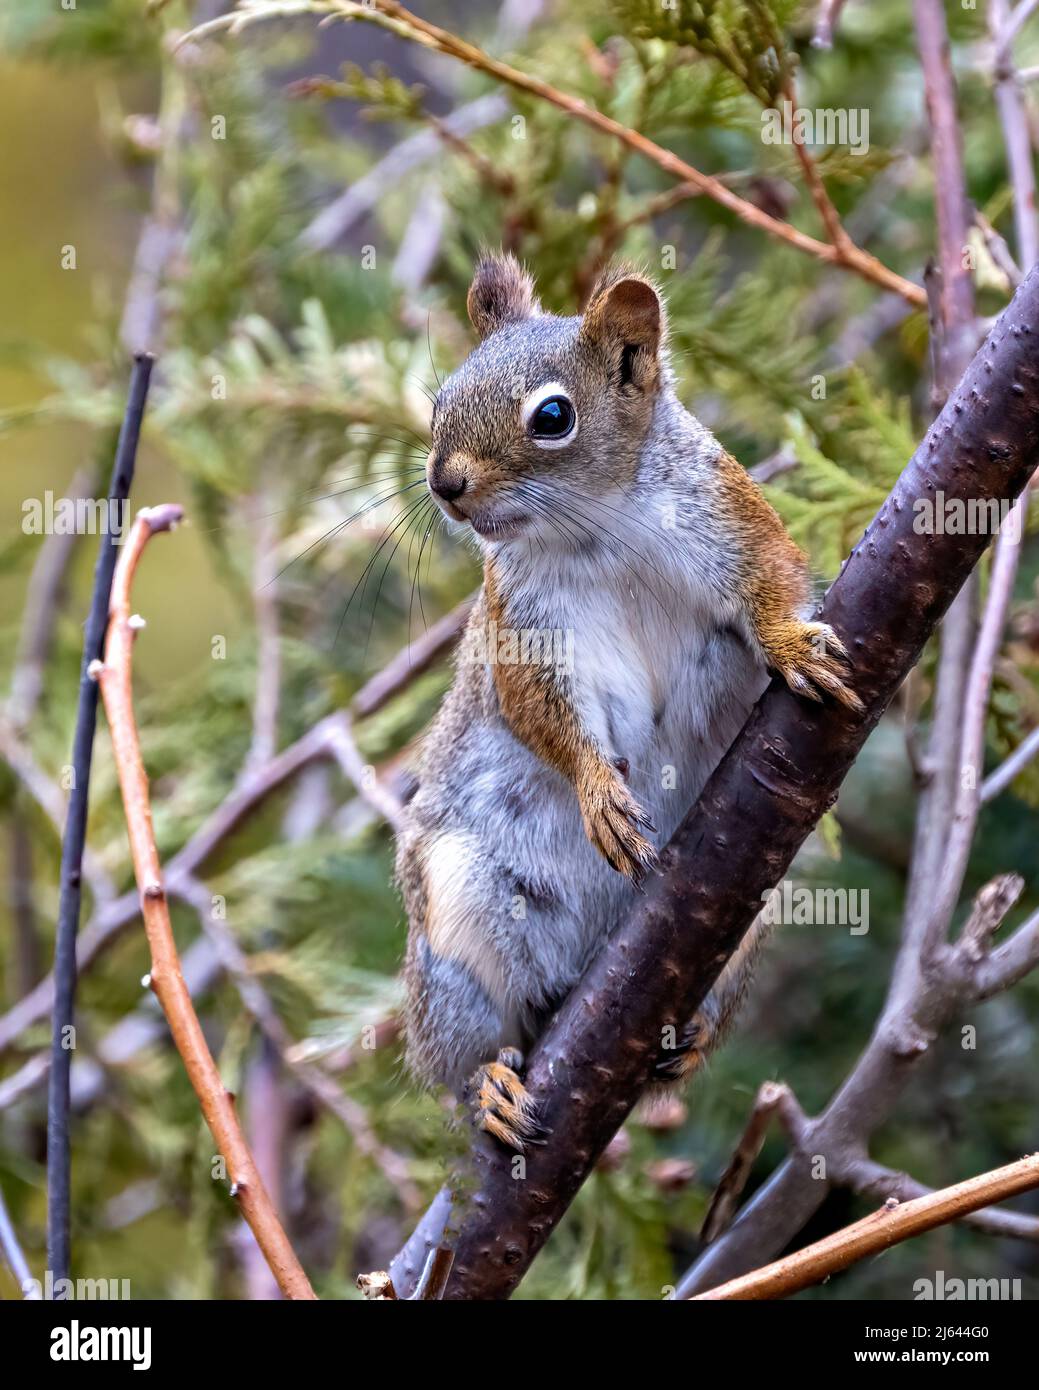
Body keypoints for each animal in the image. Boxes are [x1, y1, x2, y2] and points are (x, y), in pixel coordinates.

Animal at [395, 252, 856, 1150]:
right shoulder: (522, 631)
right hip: (456, 929)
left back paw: (688, 1042)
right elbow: (539, 713)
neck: (596, 526)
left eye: (552, 416)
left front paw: (790, 647)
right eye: (440, 401)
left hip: (745, 929)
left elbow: (774, 583)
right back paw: (489, 1083)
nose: (444, 483)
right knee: (465, 1045)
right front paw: (598, 793)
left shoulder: (732, 518)